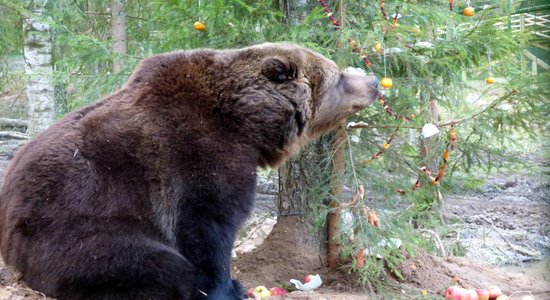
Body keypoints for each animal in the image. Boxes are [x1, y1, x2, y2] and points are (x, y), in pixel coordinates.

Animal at [0, 42, 380, 300]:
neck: (246, 123)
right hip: (77, 231)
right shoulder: (199, 157)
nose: (374, 81)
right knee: (156, 265)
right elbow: (208, 228)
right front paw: (229, 285)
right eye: (339, 77)